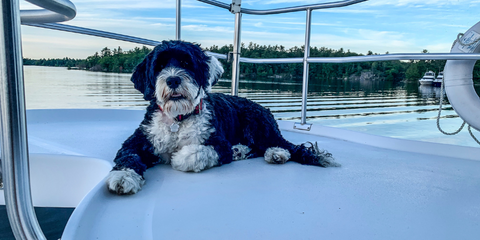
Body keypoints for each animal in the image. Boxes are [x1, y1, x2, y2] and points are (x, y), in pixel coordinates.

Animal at [107, 40, 340, 195]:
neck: (178, 119)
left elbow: (190, 154)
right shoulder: (138, 139)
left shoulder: (218, 144)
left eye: (187, 63)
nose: (173, 80)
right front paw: (123, 176)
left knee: (282, 145)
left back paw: (275, 153)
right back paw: (244, 151)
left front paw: (177, 157)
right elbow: (128, 156)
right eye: (160, 66)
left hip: (256, 124)